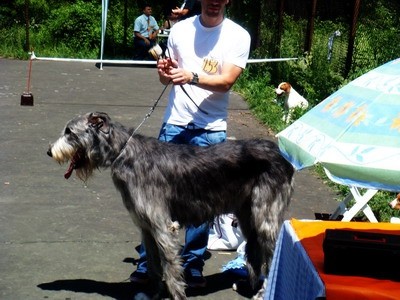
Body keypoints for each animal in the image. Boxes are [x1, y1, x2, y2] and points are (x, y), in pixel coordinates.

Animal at [47, 111, 296, 298]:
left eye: (69, 132)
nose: (49, 151)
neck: (124, 153)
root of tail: (284, 156)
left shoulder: (162, 227)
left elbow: (170, 266)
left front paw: (176, 295)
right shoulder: (146, 227)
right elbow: (154, 266)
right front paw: (153, 294)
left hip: (265, 216)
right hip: (247, 215)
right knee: (255, 251)